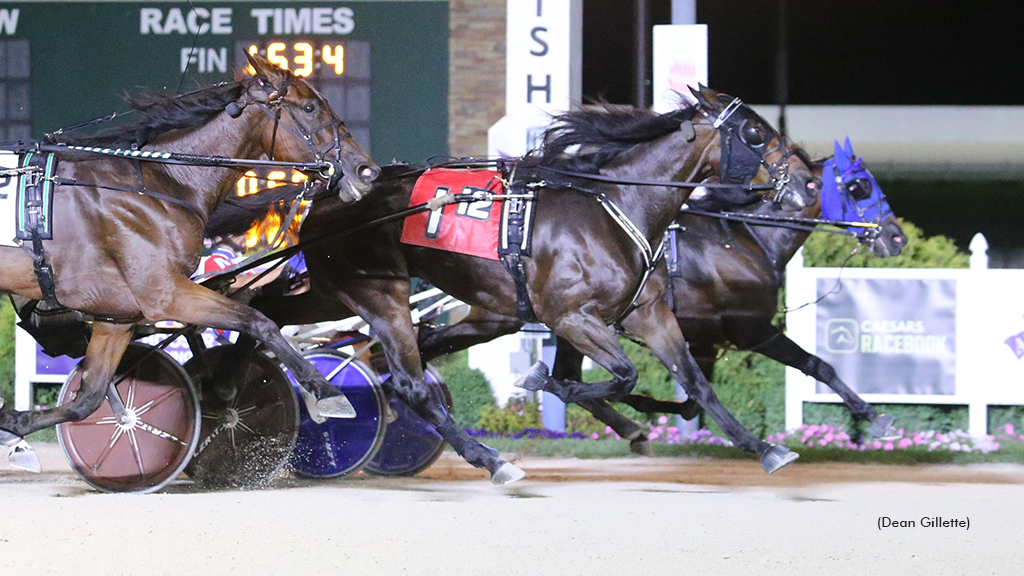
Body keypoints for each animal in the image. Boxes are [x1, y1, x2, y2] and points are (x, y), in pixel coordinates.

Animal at [0, 54, 378, 448]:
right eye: (309, 107)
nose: (367, 170)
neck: (162, 182)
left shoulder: (117, 315)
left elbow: (87, 398)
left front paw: (12, 420)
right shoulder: (166, 294)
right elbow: (258, 320)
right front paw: (325, 391)